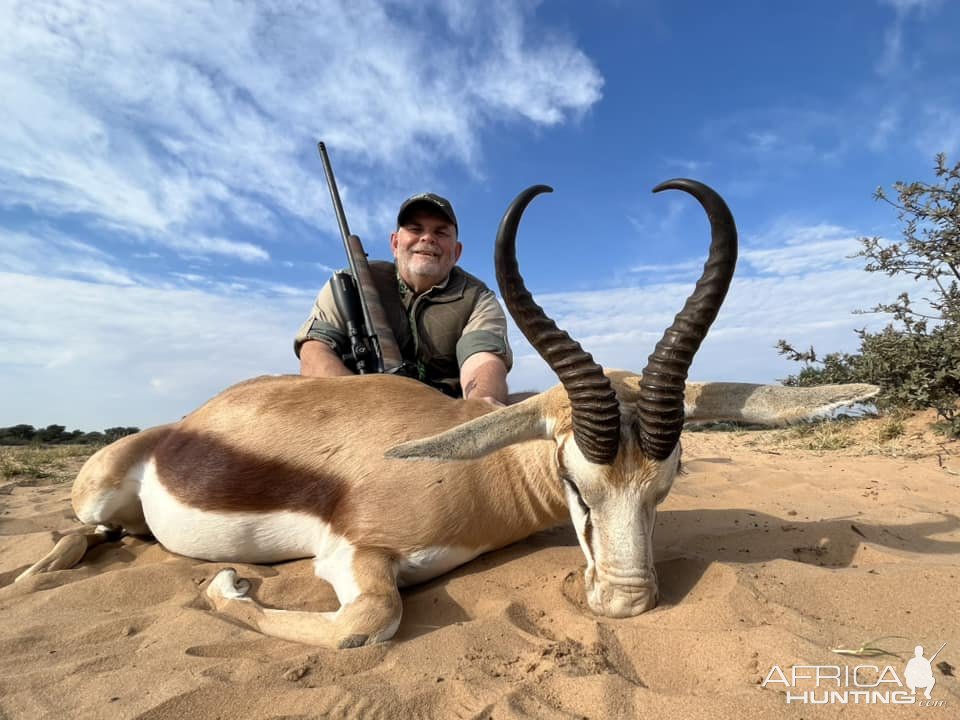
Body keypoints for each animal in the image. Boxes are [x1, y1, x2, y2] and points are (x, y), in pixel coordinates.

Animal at [16, 180, 876, 648]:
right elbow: (366, 622)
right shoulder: (354, 555)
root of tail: (177, 428)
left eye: (668, 483)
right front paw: (228, 587)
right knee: (77, 528)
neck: (477, 477)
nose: (627, 603)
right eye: (577, 483)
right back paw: (30, 576)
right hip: (98, 489)